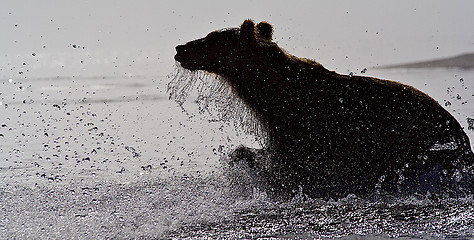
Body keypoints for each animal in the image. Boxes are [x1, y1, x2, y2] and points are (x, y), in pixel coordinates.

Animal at [172, 18, 472, 199]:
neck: (273, 96)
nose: (180, 48)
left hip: (427, 150)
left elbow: (292, 172)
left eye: (210, 38)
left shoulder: (311, 130)